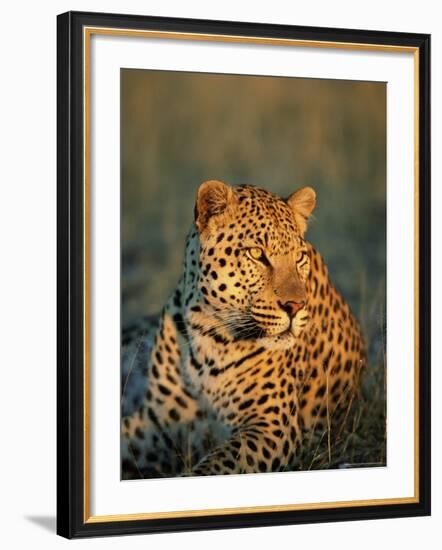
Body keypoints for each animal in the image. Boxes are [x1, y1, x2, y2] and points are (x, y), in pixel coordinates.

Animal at [121, 180, 366, 478]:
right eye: (257, 254)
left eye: (299, 257)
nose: (295, 306)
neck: (209, 330)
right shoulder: (157, 421)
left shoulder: (271, 425)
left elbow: (216, 465)